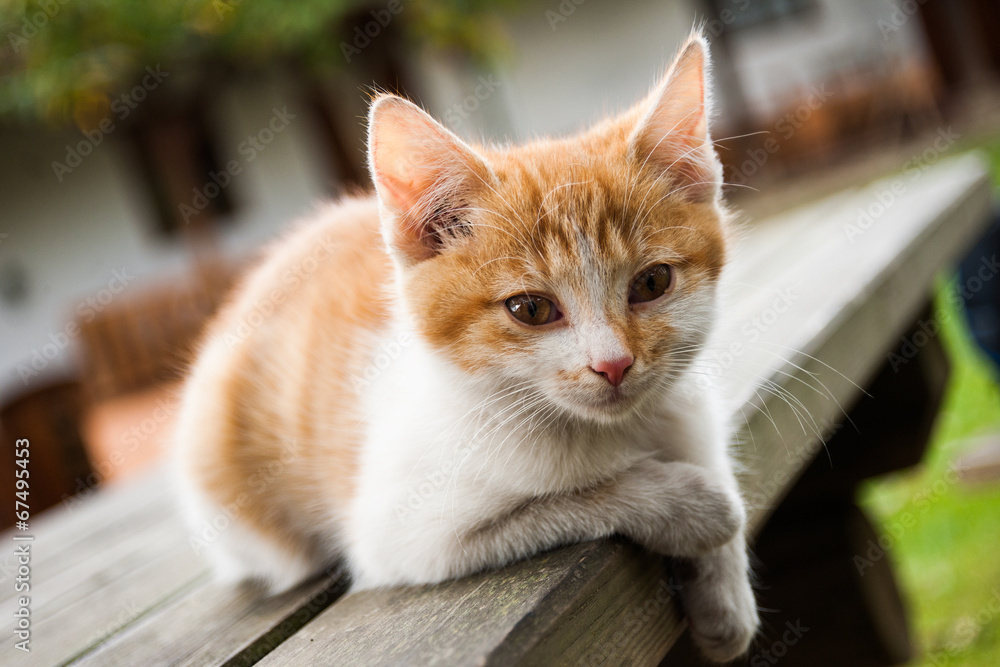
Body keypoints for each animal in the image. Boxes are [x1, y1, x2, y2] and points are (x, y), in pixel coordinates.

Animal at [178, 32, 756, 664]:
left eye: (652, 283)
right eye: (530, 309)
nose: (613, 363)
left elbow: (704, 450)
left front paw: (725, 596)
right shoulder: (406, 535)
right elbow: (571, 500)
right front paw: (693, 507)